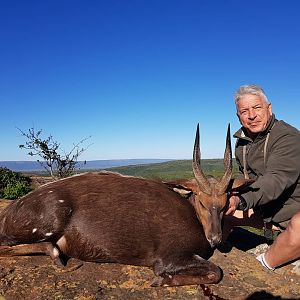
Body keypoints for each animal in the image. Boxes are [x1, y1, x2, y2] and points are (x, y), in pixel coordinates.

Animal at [0, 124, 251, 286]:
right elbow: (215, 272)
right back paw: (54, 253)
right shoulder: (171, 256)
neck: (193, 217)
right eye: (201, 201)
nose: (215, 239)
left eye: (226, 202)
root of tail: (9, 212)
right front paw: (160, 280)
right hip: (49, 220)